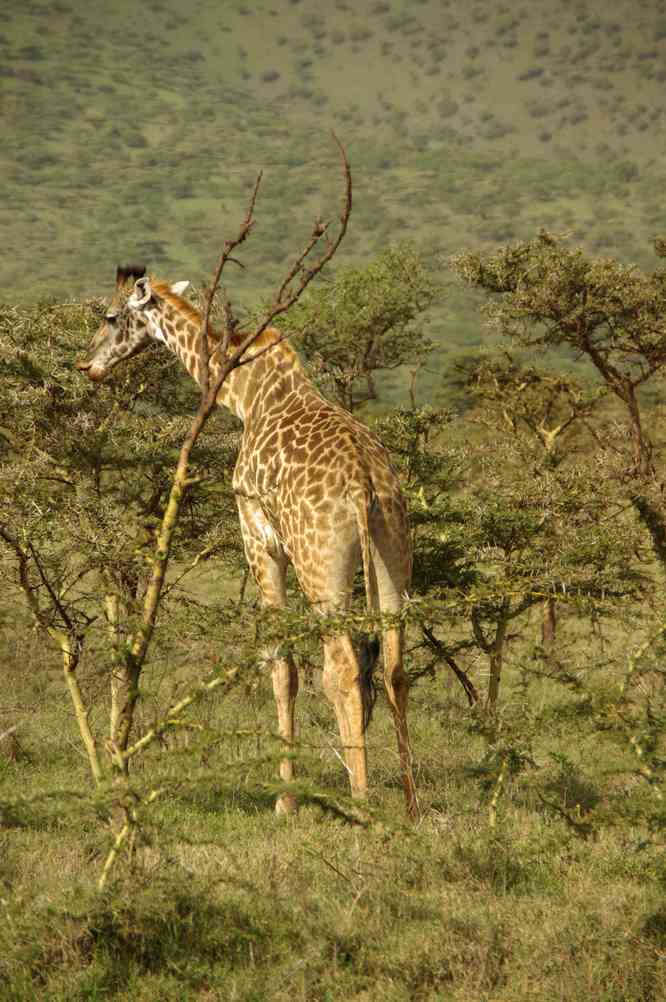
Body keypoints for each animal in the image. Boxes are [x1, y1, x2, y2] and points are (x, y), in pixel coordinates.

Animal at [78, 266, 418, 813]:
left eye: (110, 317)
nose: (86, 364)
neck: (243, 392)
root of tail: (366, 485)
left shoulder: (257, 535)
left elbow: (282, 667)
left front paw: (285, 800)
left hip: (320, 567)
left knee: (343, 670)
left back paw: (360, 799)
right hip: (394, 553)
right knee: (394, 668)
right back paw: (410, 805)